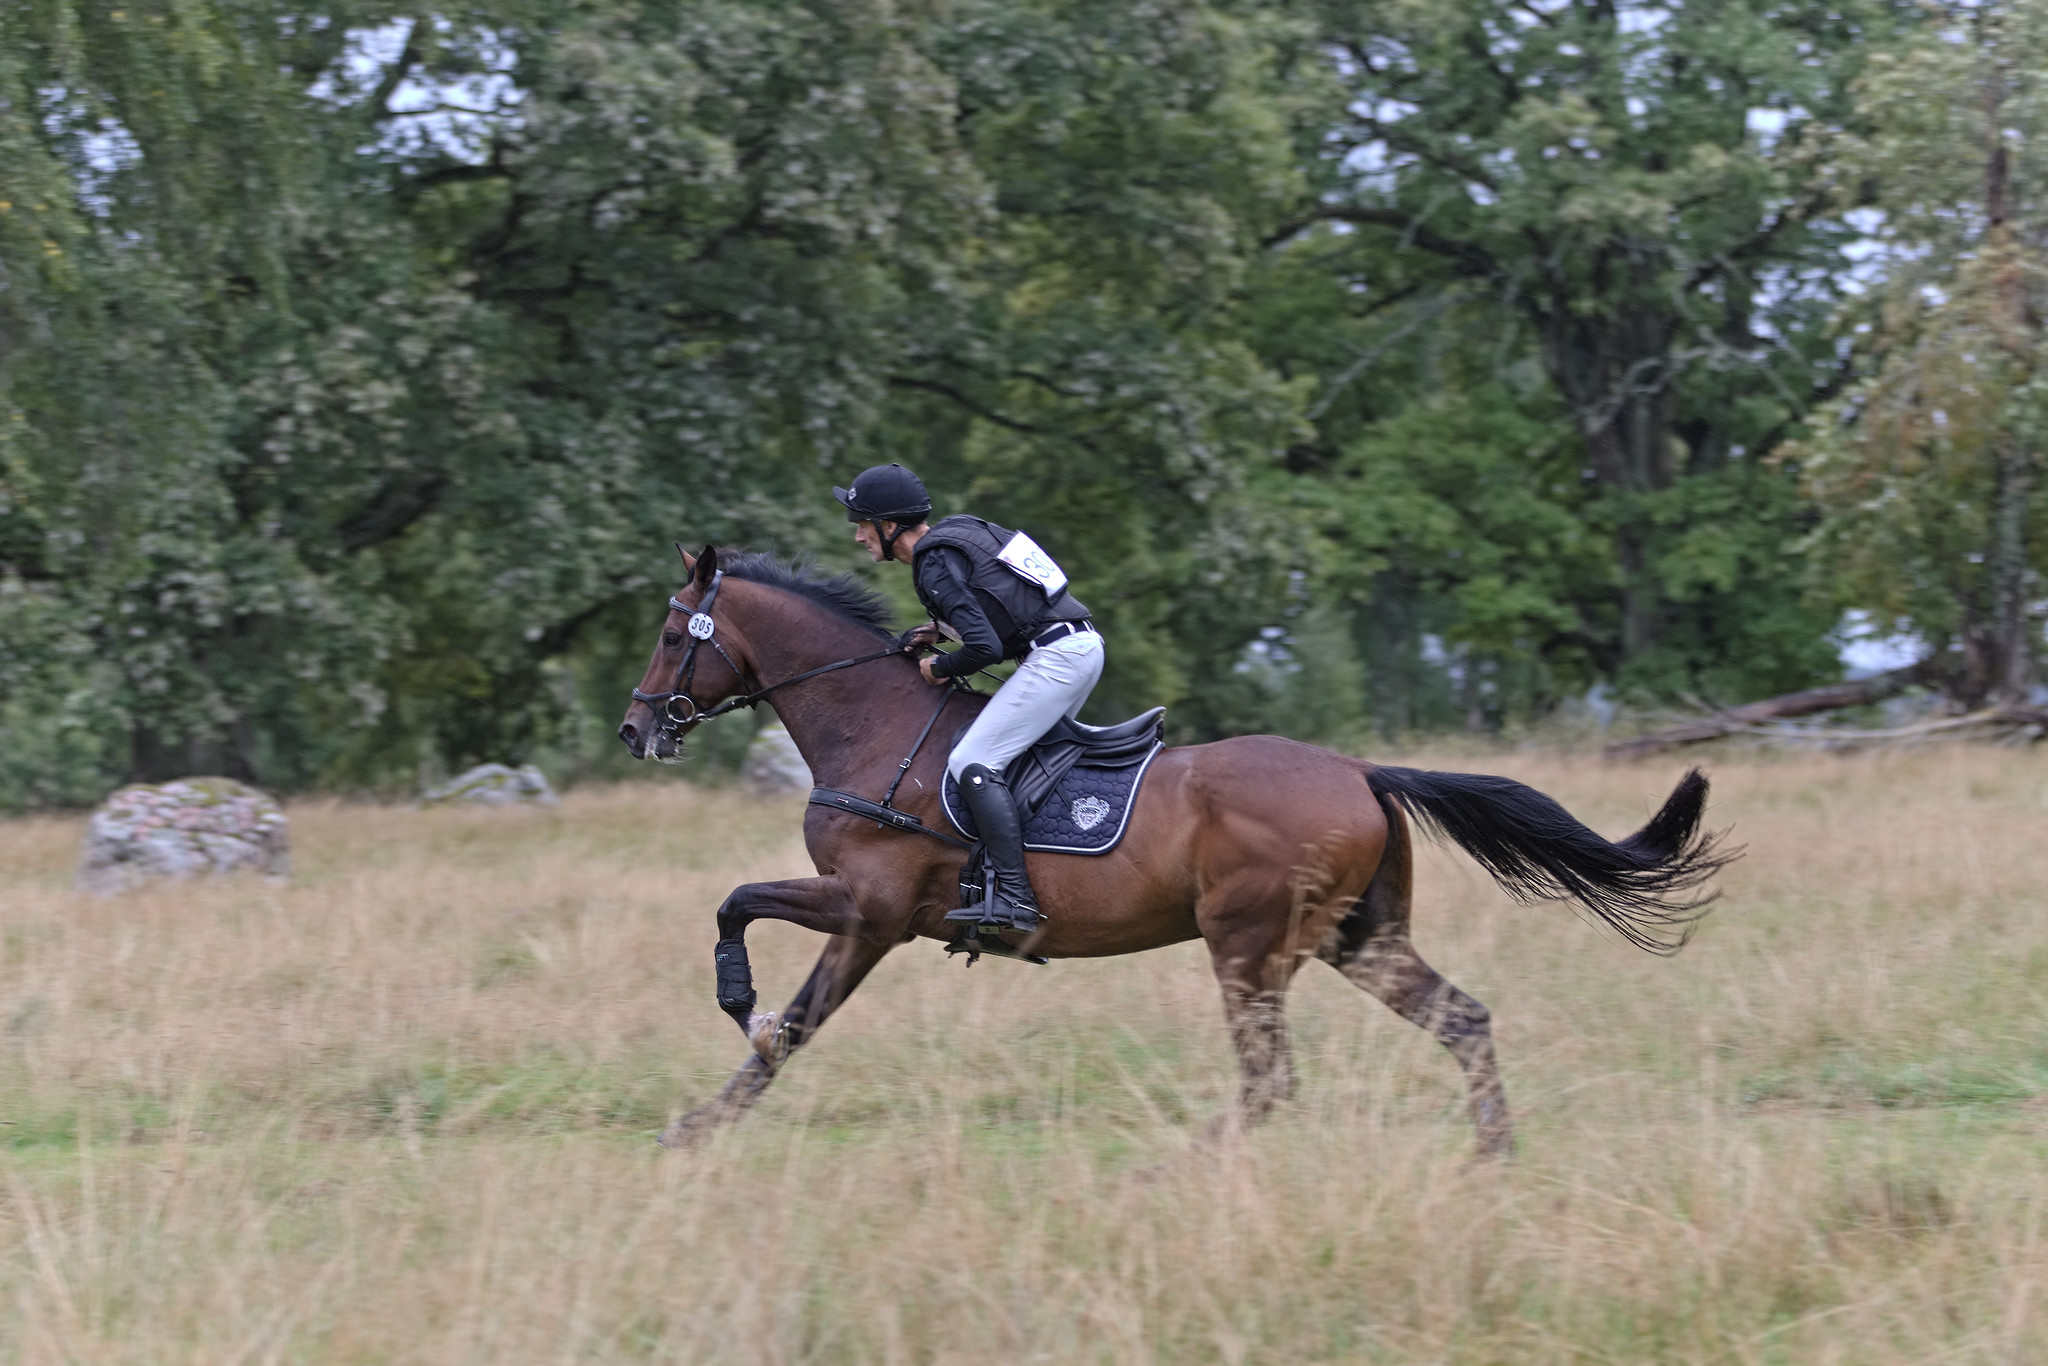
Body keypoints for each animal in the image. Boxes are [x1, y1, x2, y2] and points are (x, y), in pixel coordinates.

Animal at [610, 544, 1728, 1155]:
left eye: (669, 638)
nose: (634, 729)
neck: (874, 725)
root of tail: (1360, 770)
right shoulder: (866, 920)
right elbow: (785, 1000)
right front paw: (705, 1112)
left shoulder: (868, 909)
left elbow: (749, 936)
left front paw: (731, 1026)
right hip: (1355, 939)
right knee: (1458, 1019)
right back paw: (1491, 1154)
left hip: (1245, 944)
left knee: (1271, 1080)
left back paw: (1179, 1162)